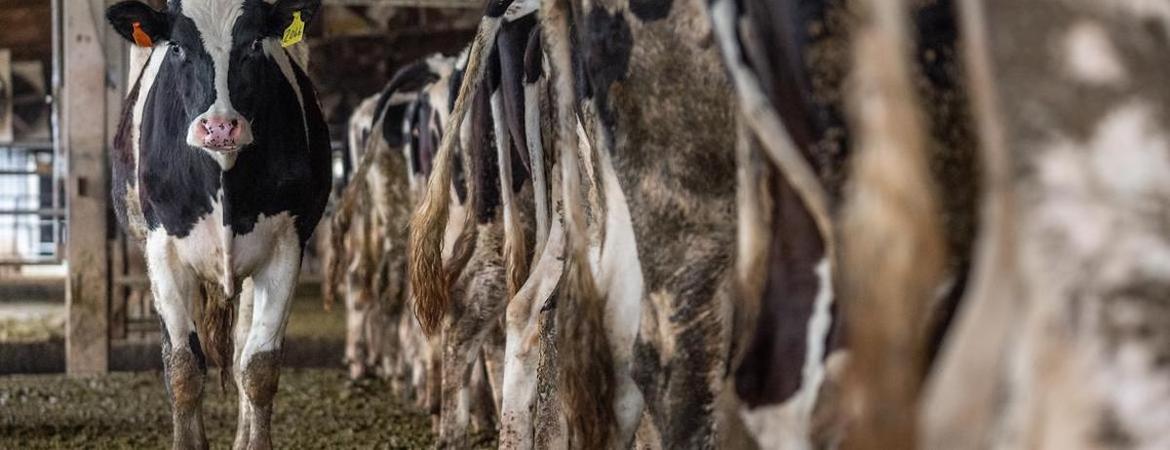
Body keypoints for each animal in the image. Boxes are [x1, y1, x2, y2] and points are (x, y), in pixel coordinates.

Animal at [104, 1, 329, 446]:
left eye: (255, 43)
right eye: (177, 46)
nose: (221, 126)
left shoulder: (286, 246)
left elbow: (259, 366)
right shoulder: (163, 250)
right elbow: (184, 368)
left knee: (241, 347)